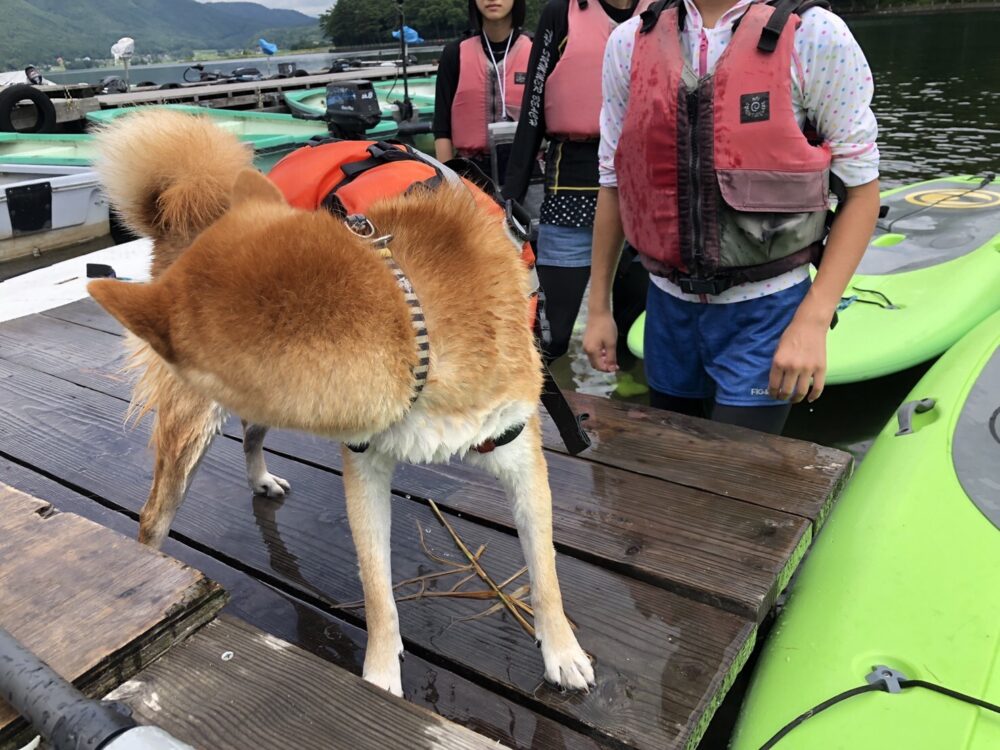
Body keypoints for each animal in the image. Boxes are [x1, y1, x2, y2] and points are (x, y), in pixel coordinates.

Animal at [86, 110, 592, 700]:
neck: (414, 321)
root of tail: (186, 214)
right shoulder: (365, 465)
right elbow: (376, 587)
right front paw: (380, 675)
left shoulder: (518, 453)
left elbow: (545, 570)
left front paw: (562, 651)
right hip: (190, 428)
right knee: (154, 516)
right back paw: (154, 566)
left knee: (252, 435)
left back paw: (261, 479)